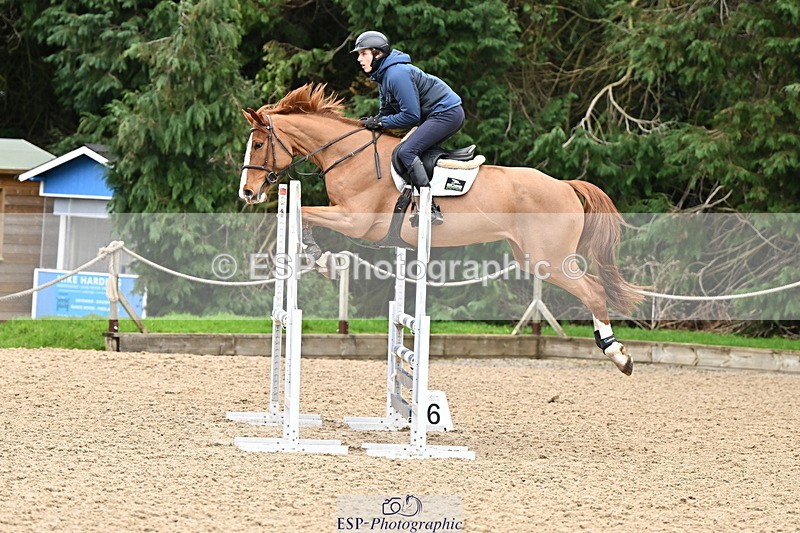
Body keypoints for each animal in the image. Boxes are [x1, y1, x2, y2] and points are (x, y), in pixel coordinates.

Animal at [239, 84, 642, 375]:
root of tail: (564, 185)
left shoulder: (356, 220)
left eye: (258, 144)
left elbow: (304, 212)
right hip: (532, 258)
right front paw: (318, 258)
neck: (350, 155)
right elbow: (303, 213)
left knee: (594, 292)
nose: (248, 192)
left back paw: (619, 355)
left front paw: (320, 259)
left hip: (551, 259)